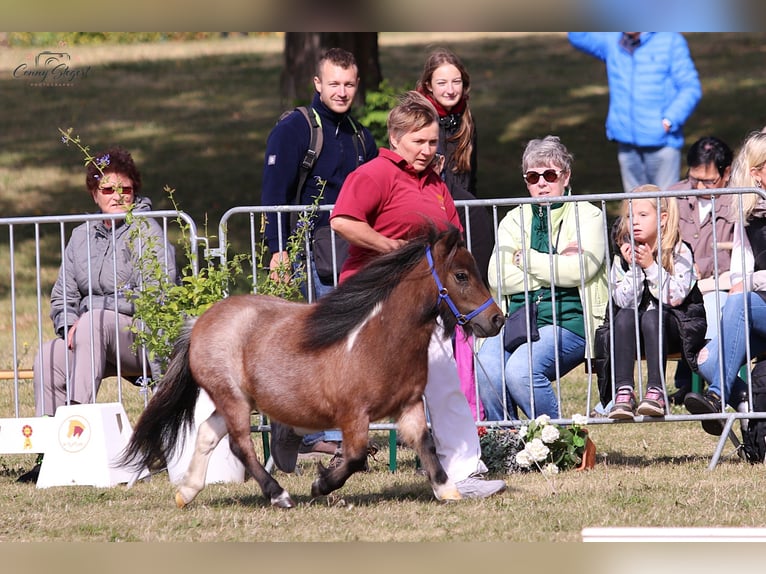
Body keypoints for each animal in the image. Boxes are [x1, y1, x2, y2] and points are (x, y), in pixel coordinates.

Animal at [121, 227, 504, 510]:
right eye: (461, 275)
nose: (496, 319)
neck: (377, 339)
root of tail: (200, 322)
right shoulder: (353, 415)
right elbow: (354, 457)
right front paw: (321, 484)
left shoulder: (408, 407)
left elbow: (426, 444)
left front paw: (447, 490)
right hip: (233, 399)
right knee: (240, 445)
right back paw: (279, 495)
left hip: (235, 400)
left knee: (206, 433)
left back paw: (186, 493)